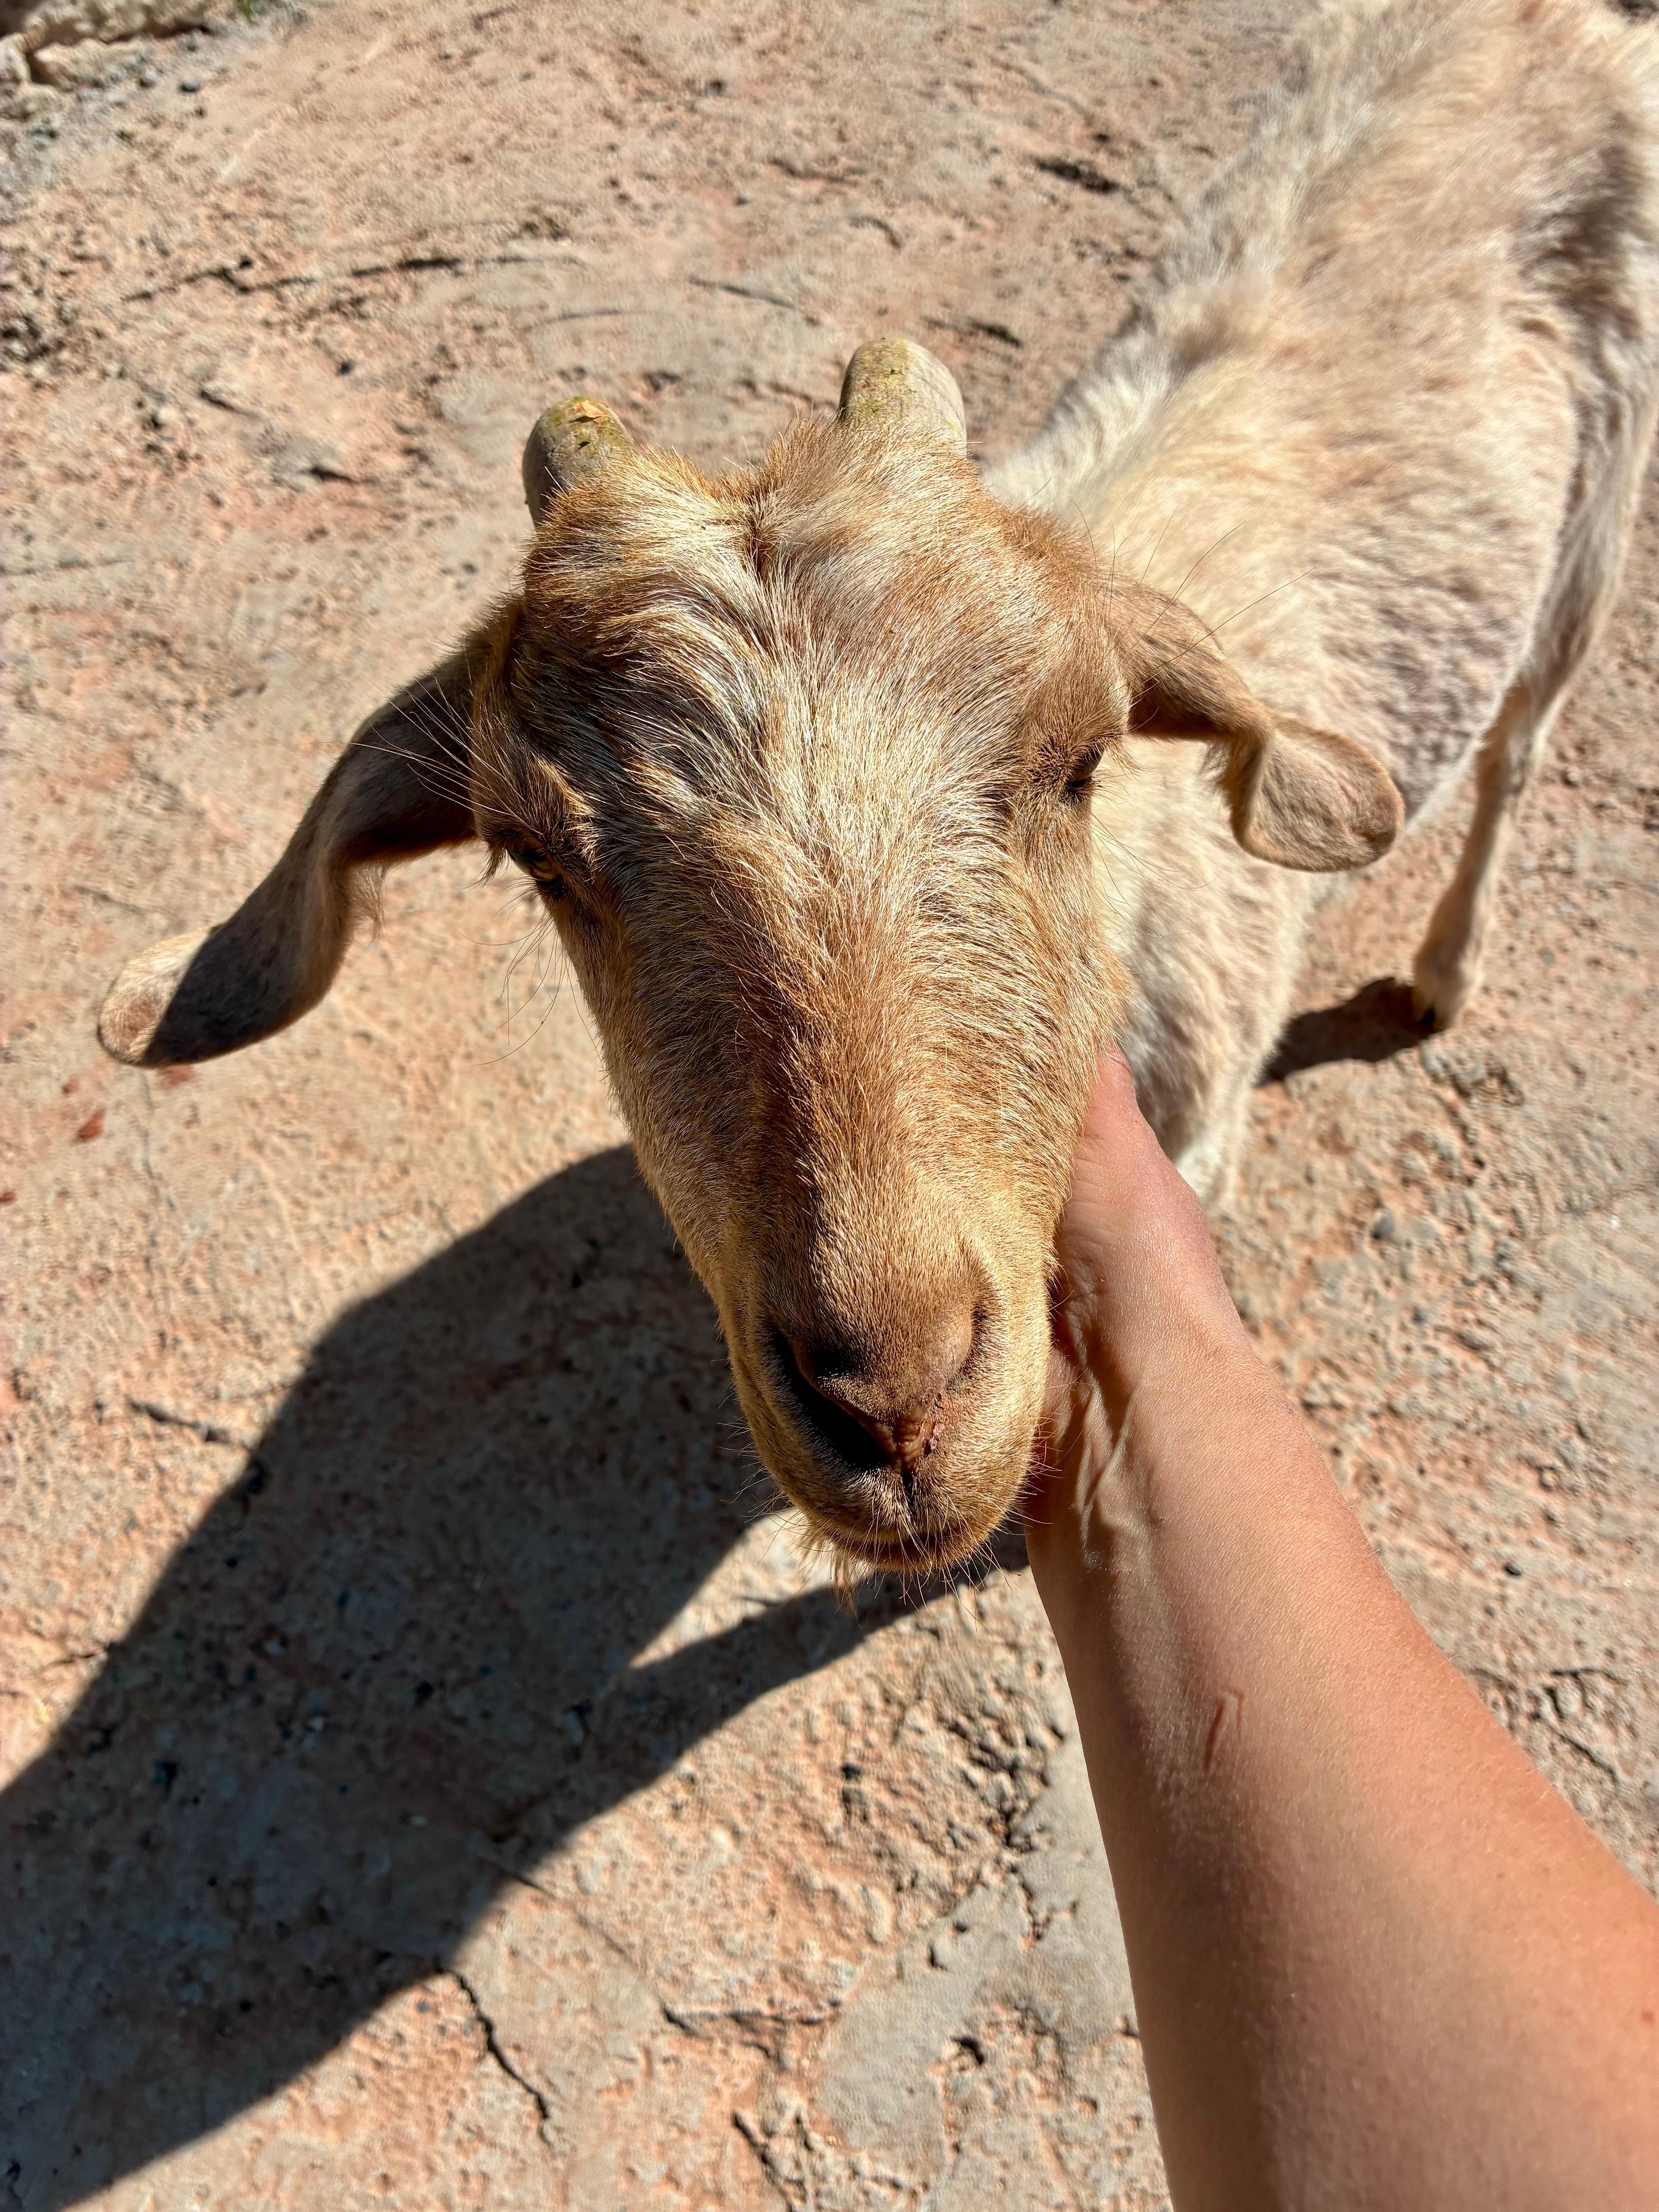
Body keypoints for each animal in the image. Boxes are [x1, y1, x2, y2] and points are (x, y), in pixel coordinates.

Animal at [99, 0, 1659, 1571]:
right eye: (542, 858)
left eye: (1080, 759)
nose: (897, 1401)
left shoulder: (1208, 1127)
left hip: (1594, 527)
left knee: (1522, 744)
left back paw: (1443, 972)